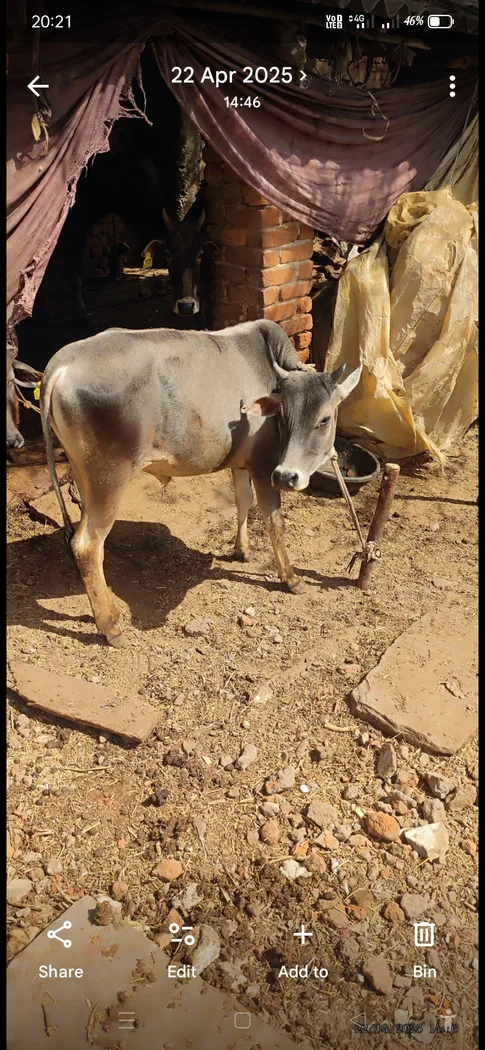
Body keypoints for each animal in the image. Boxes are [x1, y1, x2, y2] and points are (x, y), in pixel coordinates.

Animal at [40, 319, 361, 648]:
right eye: (283, 417)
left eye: (324, 419)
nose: (288, 476)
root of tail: (63, 361)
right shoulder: (264, 467)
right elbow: (274, 521)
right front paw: (291, 578)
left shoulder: (242, 464)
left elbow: (242, 501)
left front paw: (242, 550)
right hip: (109, 479)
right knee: (87, 545)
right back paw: (110, 627)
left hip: (82, 475)